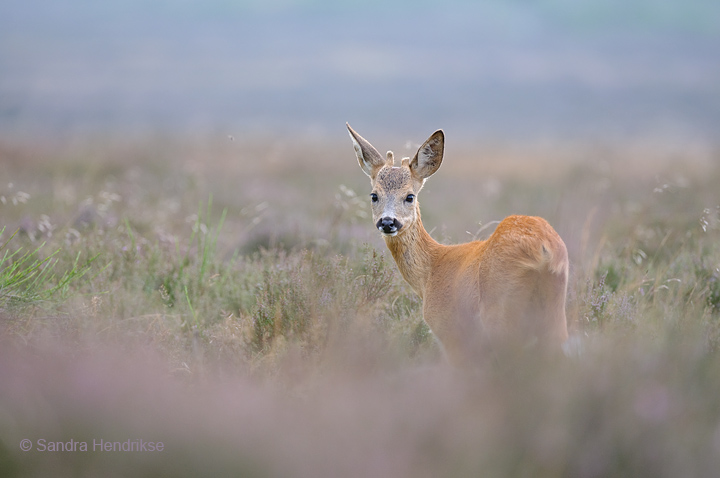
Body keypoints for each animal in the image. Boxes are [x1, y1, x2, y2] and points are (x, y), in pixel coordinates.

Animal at [347, 123, 569, 365]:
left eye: (409, 196)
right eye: (374, 195)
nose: (388, 222)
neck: (430, 272)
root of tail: (544, 249)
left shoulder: (451, 331)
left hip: (501, 309)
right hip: (555, 310)